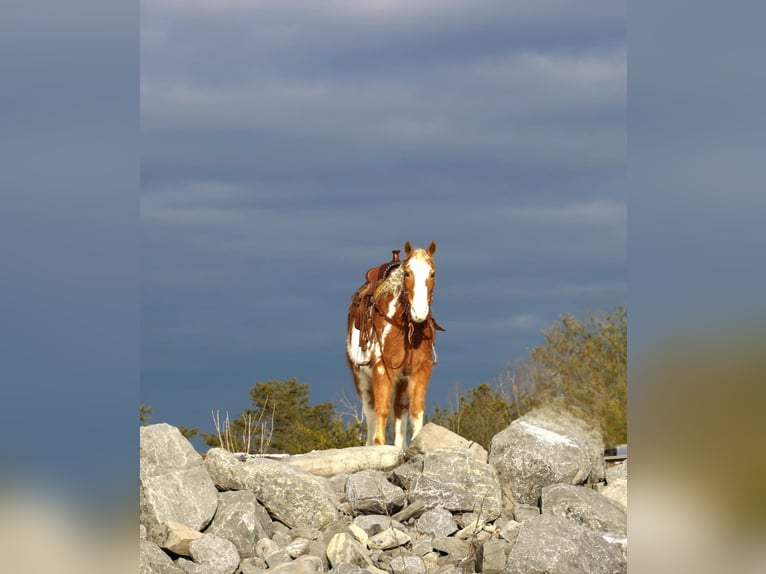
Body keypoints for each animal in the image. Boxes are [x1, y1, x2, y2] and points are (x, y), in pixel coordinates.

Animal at [346, 241, 444, 448]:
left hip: (401, 382)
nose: (419, 312)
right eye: (407, 273)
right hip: (361, 378)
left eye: (433, 274)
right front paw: (379, 444)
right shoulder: (382, 368)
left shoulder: (421, 369)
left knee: (400, 409)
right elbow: (382, 408)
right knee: (370, 409)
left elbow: (415, 409)